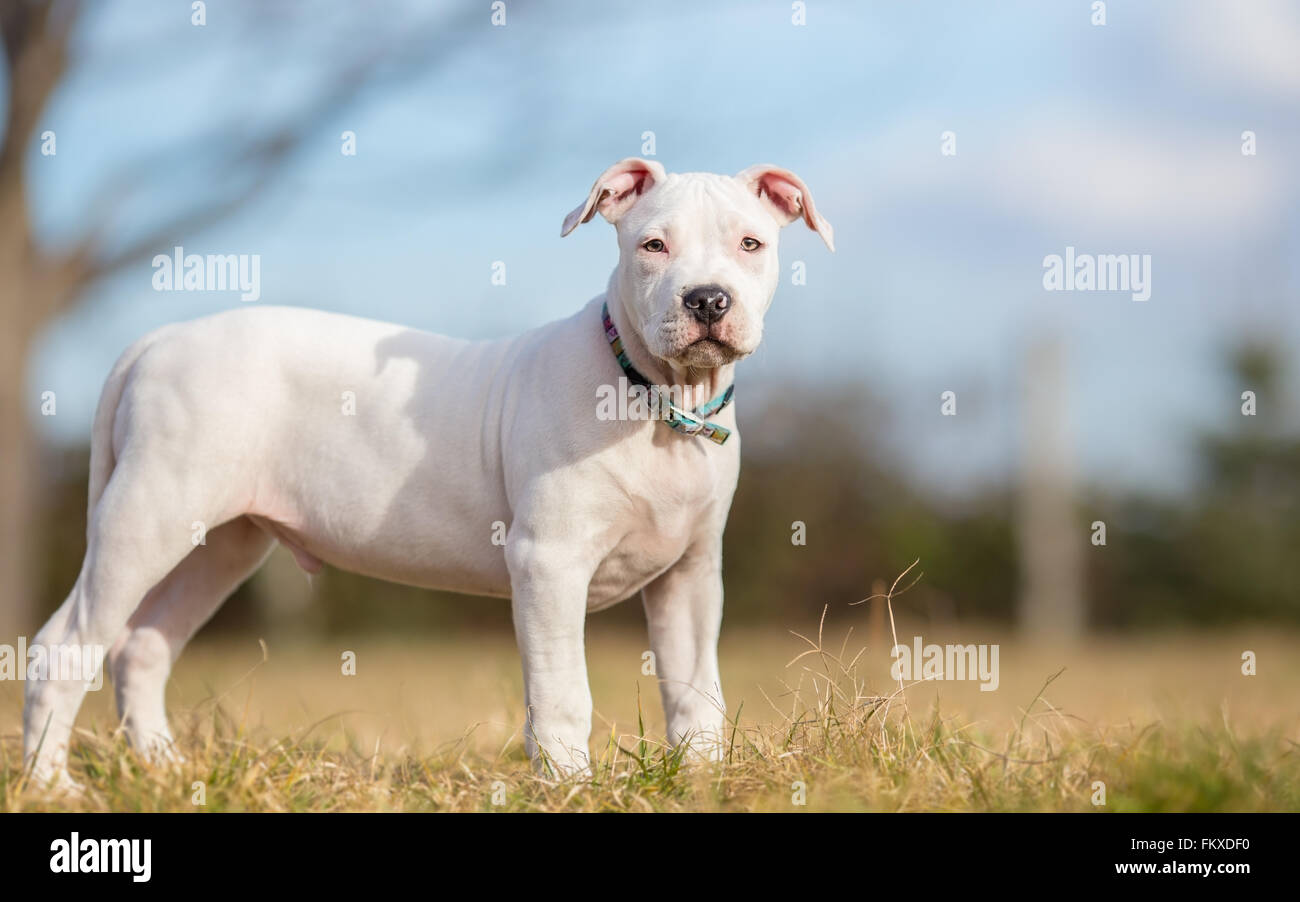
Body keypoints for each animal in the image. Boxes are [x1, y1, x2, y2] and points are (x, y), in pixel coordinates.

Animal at [25, 159, 837, 790]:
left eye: (751, 243)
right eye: (652, 245)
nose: (708, 299)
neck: (659, 402)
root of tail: (156, 341)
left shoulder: (691, 573)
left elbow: (696, 690)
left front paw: (703, 779)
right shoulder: (549, 564)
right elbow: (563, 692)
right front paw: (570, 787)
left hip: (219, 541)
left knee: (142, 647)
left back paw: (165, 771)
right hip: (147, 517)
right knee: (63, 645)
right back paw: (50, 784)